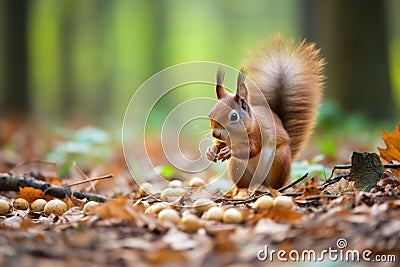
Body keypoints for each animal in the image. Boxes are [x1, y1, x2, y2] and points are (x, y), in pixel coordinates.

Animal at [206, 36, 324, 191]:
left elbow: (252, 149)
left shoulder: (257, 133)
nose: (215, 133)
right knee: (243, 184)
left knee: (274, 184)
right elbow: (220, 144)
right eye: (210, 114)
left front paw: (229, 151)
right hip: (237, 168)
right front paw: (211, 150)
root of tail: (258, 183)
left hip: (279, 160)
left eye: (234, 116)